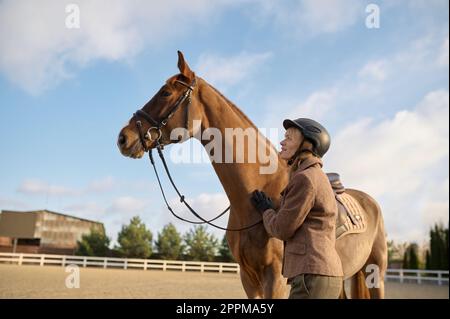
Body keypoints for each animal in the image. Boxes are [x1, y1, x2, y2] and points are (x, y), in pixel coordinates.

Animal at [118, 51, 388, 298]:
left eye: (165, 93)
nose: (123, 137)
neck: (257, 191)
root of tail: (370, 201)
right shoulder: (248, 278)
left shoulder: (276, 279)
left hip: (375, 273)